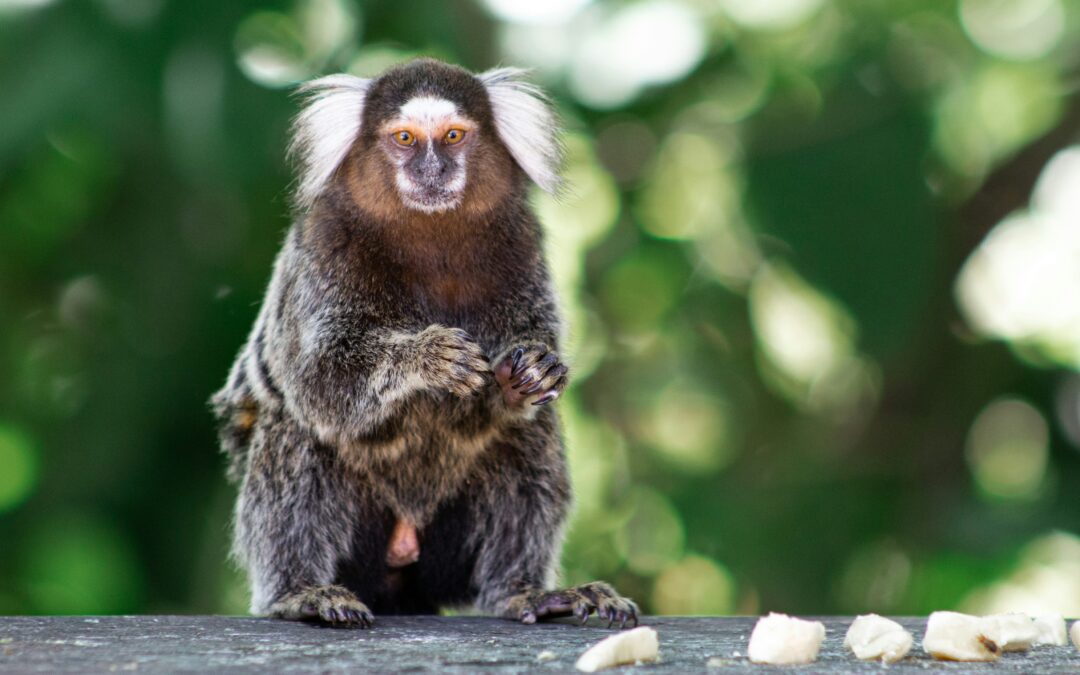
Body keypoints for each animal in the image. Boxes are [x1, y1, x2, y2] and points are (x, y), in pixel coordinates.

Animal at [208, 56, 639, 626]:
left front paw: (528, 373)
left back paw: (524, 591)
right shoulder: (323, 248)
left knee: (527, 436)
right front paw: (426, 357)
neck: (429, 241)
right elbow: (321, 383)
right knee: (296, 429)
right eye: (405, 138)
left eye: (453, 136)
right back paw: (299, 592)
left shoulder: (524, 244)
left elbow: (511, 396)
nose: (431, 171)